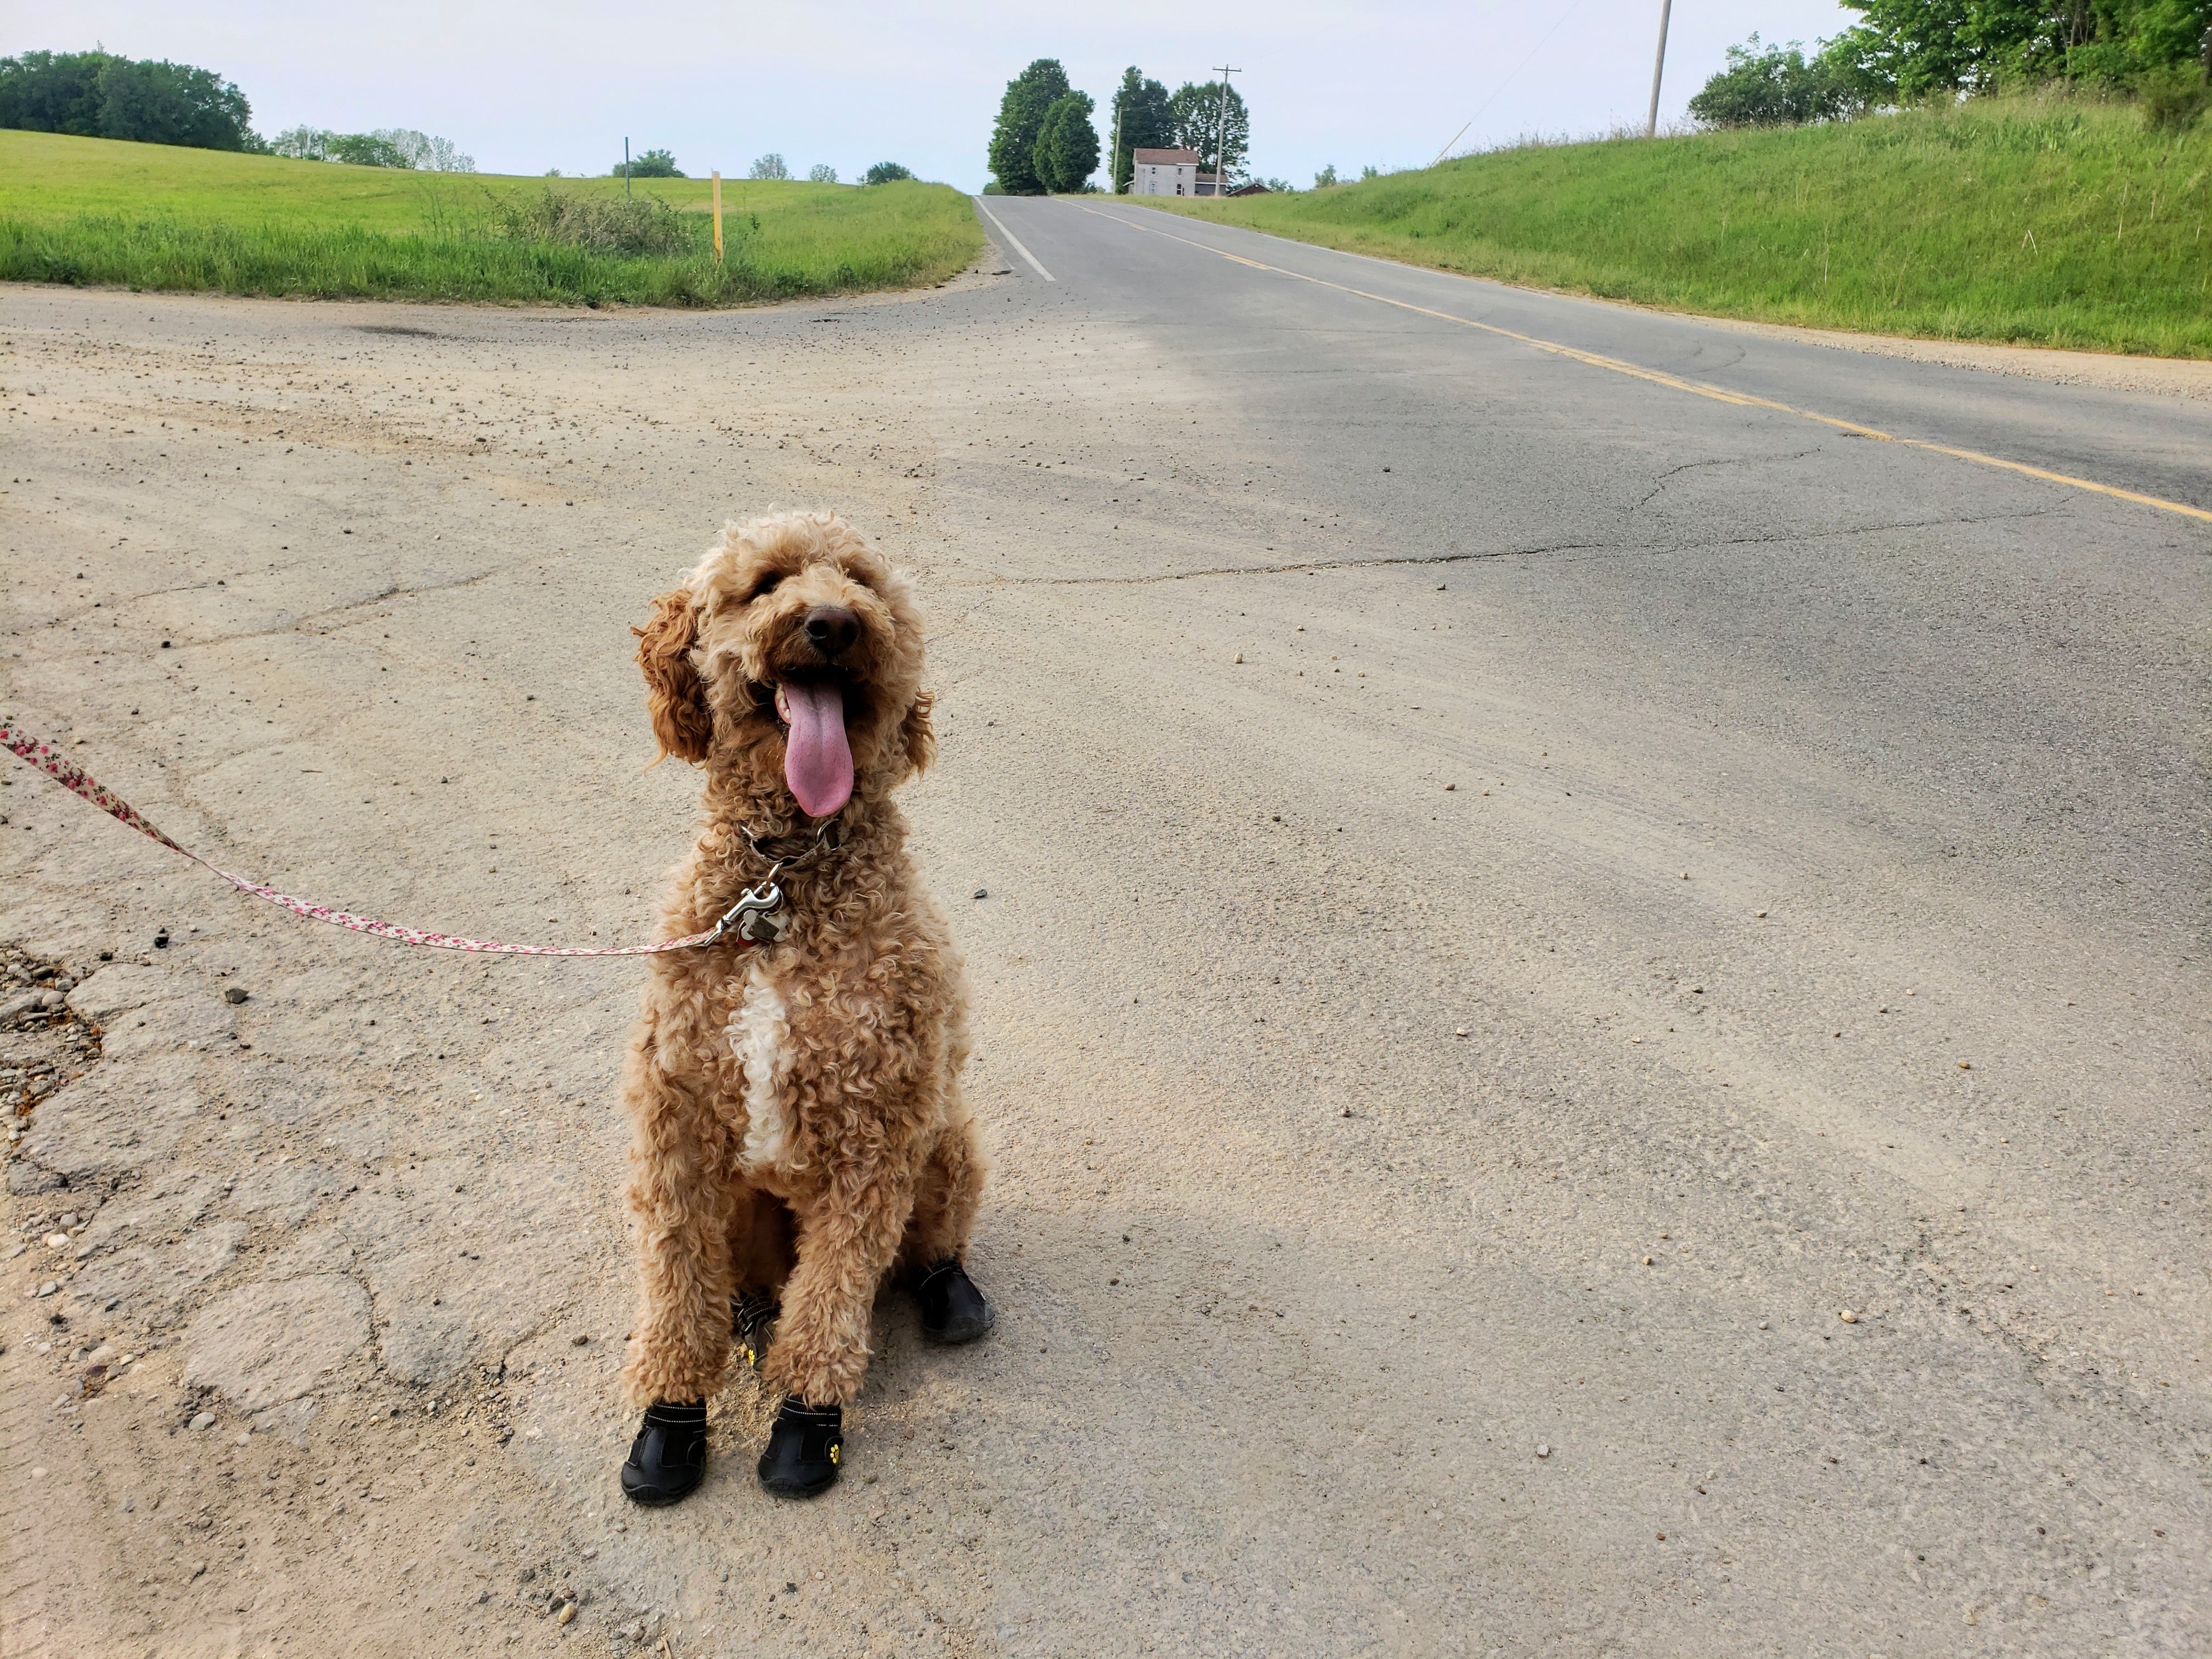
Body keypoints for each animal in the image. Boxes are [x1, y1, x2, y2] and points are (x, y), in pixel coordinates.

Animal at [616, 509, 991, 1503]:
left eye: (861, 580)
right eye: (766, 583)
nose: (833, 623)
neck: (785, 875)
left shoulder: (874, 1132)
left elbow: (832, 1300)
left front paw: (806, 1422)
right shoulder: (680, 1118)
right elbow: (676, 1285)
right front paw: (670, 1416)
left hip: (948, 1141)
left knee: (925, 1251)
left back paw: (951, 1295)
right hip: (748, 1200)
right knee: (749, 1284)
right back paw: (750, 1312)